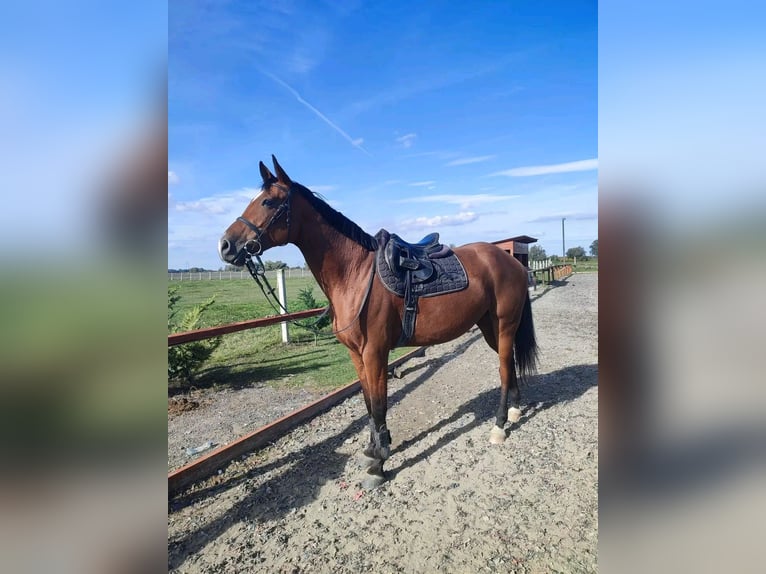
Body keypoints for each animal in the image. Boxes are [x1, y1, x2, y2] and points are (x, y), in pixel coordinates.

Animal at [219, 156, 538, 489]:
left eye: (268, 202)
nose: (225, 245)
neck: (355, 274)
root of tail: (513, 262)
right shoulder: (357, 355)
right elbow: (369, 405)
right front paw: (373, 449)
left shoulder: (375, 352)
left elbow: (380, 403)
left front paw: (379, 463)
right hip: (490, 327)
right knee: (509, 363)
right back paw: (515, 411)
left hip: (504, 325)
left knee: (503, 368)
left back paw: (499, 426)